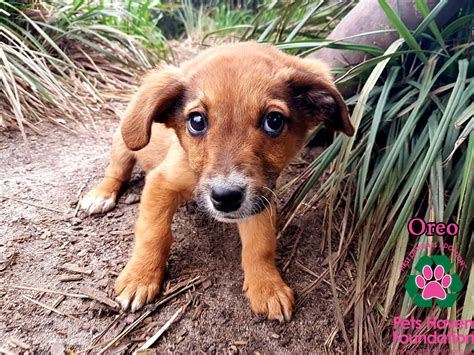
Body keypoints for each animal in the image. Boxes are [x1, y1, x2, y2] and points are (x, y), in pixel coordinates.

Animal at [81, 42, 354, 322]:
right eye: (196, 121)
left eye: (274, 121)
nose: (226, 198)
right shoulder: (161, 183)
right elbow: (153, 233)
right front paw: (140, 277)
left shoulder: (260, 197)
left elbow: (260, 245)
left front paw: (267, 286)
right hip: (123, 144)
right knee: (116, 171)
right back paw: (101, 194)